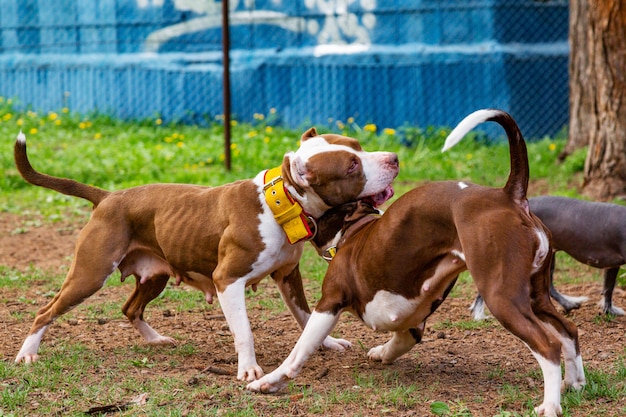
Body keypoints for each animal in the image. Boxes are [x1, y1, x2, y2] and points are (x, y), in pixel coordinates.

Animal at [12, 127, 398, 380]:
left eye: (359, 146)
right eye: (351, 165)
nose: (394, 159)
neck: (281, 203)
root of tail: (108, 196)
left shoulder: (289, 275)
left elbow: (304, 316)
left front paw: (328, 342)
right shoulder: (228, 280)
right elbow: (244, 331)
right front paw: (248, 369)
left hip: (155, 274)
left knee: (130, 308)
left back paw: (155, 340)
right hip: (90, 274)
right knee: (46, 311)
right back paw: (27, 354)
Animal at [246, 110, 584, 416]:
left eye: (355, 157)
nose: (393, 159)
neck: (354, 227)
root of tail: (508, 196)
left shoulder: (329, 303)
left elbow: (300, 349)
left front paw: (270, 381)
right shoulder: (411, 320)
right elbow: (401, 338)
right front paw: (383, 352)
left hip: (503, 297)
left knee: (548, 346)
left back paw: (550, 405)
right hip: (535, 294)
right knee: (568, 330)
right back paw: (574, 383)